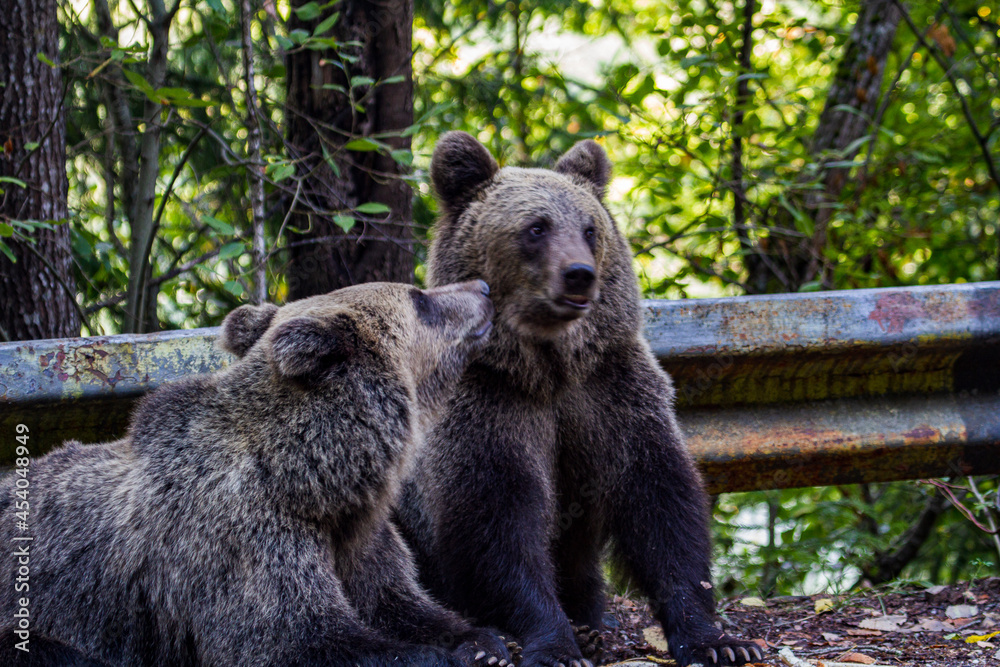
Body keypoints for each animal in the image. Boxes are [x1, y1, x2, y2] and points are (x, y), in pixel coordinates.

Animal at [1, 280, 516, 667]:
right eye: (420, 298)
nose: (483, 287)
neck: (311, 480)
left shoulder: (359, 539)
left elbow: (400, 601)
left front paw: (485, 644)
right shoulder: (241, 540)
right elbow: (295, 639)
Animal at [395, 133, 764, 667]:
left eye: (590, 228)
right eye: (536, 227)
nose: (579, 275)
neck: (548, 369)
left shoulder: (610, 392)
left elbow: (661, 505)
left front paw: (719, 642)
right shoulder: (489, 404)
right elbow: (496, 519)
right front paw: (556, 644)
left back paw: (591, 627)